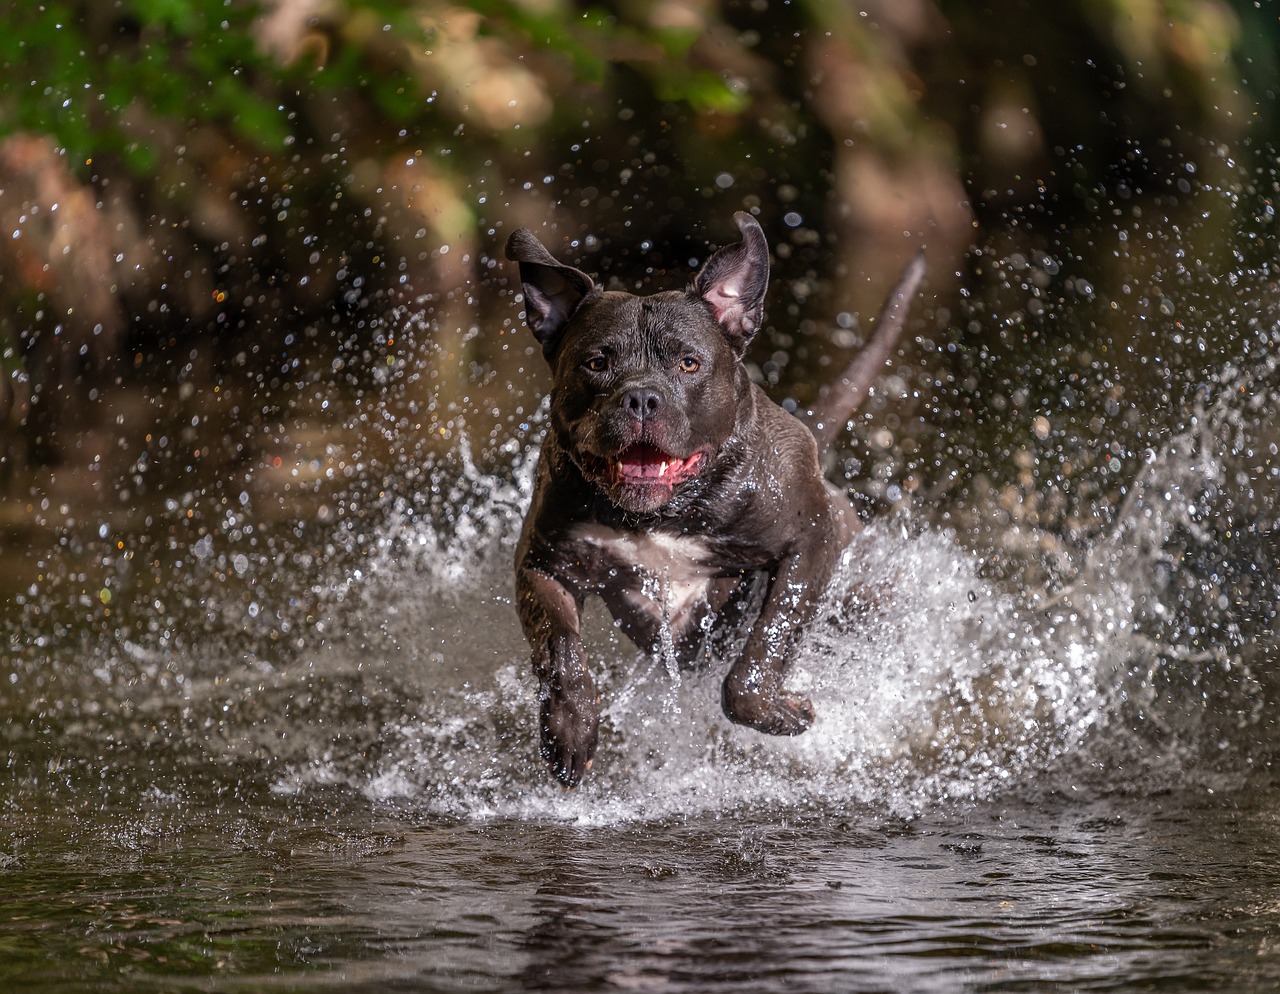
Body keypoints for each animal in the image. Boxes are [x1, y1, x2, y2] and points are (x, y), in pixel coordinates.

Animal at [504, 213, 926, 788]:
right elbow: (560, 647)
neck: (663, 514)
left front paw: (781, 711)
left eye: (688, 363)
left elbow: (768, 643)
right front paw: (570, 731)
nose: (641, 397)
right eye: (596, 362)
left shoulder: (812, 538)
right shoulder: (545, 563)